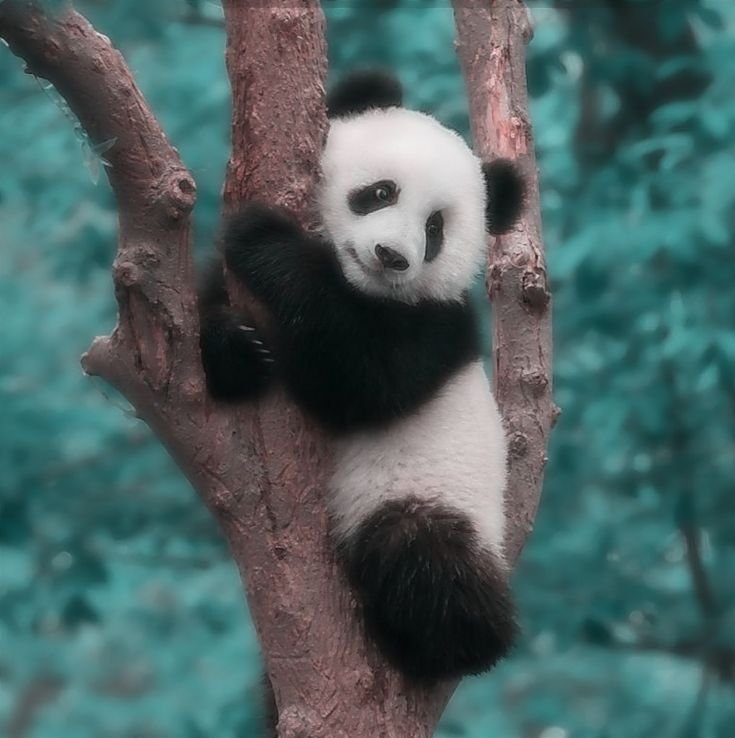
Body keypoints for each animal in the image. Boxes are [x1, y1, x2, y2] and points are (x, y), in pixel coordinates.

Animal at [199, 70, 524, 682]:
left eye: (435, 228)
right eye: (380, 192)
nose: (391, 255)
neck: (357, 286)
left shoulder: (437, 326)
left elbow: (360, 381)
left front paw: (265, 241)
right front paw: (237, 348)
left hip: (430, 496)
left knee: (424, 558)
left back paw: (440, 643)